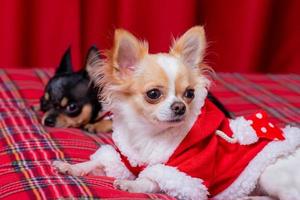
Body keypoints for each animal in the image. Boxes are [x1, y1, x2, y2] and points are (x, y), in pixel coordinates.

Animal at [53, 27, 300, 200]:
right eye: (153, 94)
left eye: (190, 94)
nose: (180, 106)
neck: (149, 134)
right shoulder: (124, 162)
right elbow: (97, 164)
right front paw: (71, 167)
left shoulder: (186, 173)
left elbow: (152, 180)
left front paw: (131, 185)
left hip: (270, 175)